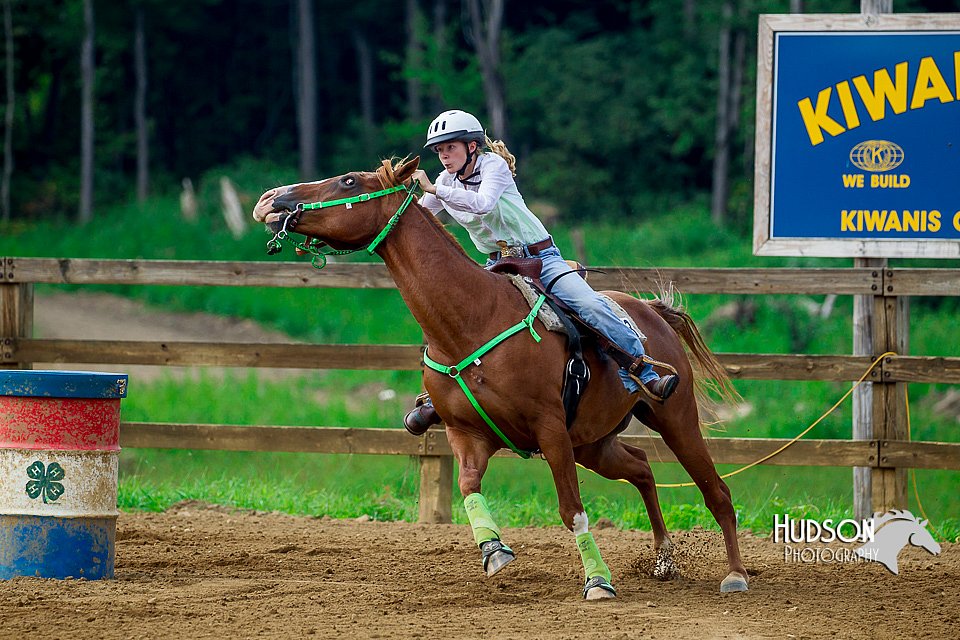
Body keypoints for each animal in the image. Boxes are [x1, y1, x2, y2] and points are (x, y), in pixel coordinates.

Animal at [255, 158, 752, 596]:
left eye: (348, 180)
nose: (272, 199)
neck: (472, 319)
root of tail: (652, 311)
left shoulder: (550, 429)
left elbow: (572, 510)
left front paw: (597, 582)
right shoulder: (466, 434)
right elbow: (468, 488)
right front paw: (494, 551)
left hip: (674, 417)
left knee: (717, 492)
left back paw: (735, 575)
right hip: (593, 442)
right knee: (642, 467)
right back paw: (664, 557)